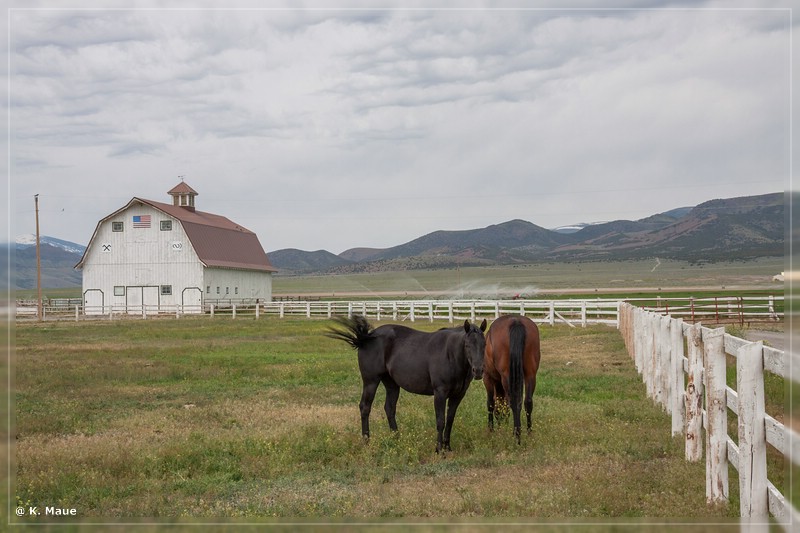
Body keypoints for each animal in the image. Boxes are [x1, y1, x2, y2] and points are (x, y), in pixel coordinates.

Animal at [326, 314, 488, 450]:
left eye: (484, 345)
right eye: (467, 345)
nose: (478, 371)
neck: (450, 355)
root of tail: (367, 337)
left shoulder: (458, 395)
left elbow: (450, 420)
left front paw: (447, 447)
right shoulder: (440, 393)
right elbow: (440, 421)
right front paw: (439, 449)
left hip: (391, 384)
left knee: (389, 408)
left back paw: (396, 439)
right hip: (371, 381)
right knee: (365, 407)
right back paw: (366, 441)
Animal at [484, 314, 540, 442]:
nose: (502, 422)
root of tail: (516, 321)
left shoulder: (488, 377)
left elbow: (491, 403)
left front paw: (491, 430)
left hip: (506, 377)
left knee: (513, 402)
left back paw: (517, 436)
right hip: (530, 375)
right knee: (528, 402)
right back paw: (528, 433)